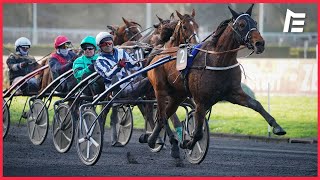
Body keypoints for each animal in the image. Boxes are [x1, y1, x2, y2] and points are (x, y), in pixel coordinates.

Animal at [146, 3, 286, 162]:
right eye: (242, 24)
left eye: (255, 23)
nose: (260, 43)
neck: (218, 60)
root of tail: (158, 55)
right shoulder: (200, 100)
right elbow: (198, 132)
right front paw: (188, 144)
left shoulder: (233, 93)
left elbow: (256, 104)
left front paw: (277, 127)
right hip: (160, 90)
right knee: (162, 115)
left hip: (177, 95)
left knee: (166, 113)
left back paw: (152, 140)